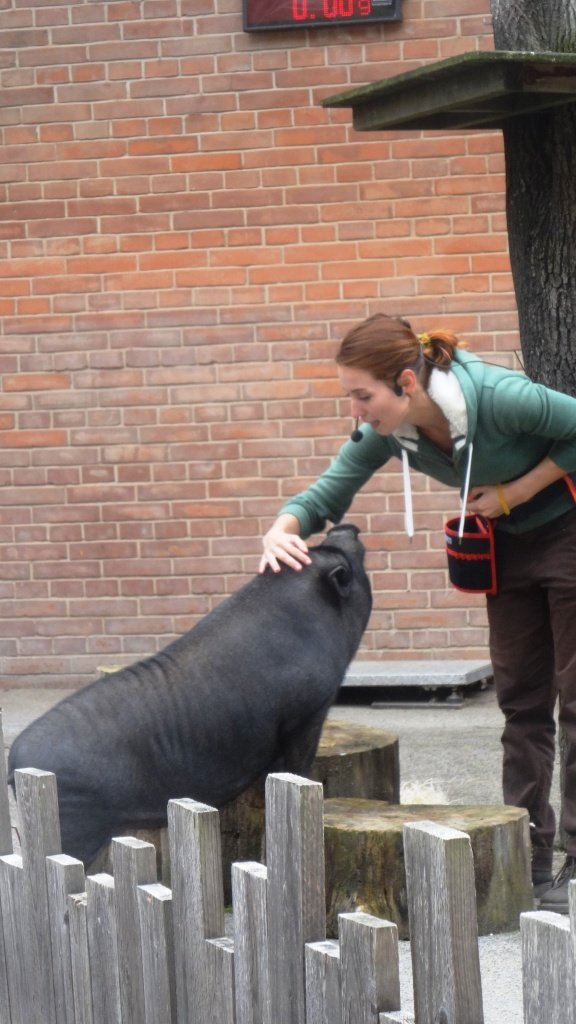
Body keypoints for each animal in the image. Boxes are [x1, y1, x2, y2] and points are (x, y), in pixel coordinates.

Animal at [8, 520, 368, 864]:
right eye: (354, 562)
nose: (347, 527)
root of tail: (14, 764)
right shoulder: (307, 712)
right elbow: (297, 765)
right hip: (75, 827)